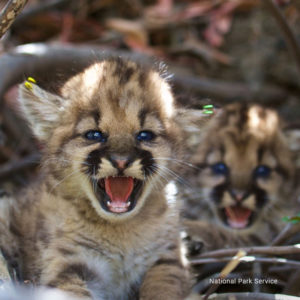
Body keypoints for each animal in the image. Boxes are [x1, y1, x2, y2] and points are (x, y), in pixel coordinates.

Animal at [0, 58, 188, 300]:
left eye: (145, 135)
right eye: (94, 134)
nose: (121, 161)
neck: (121, 231)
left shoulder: (168, 258)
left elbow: (164, 288)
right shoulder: (67, 263)